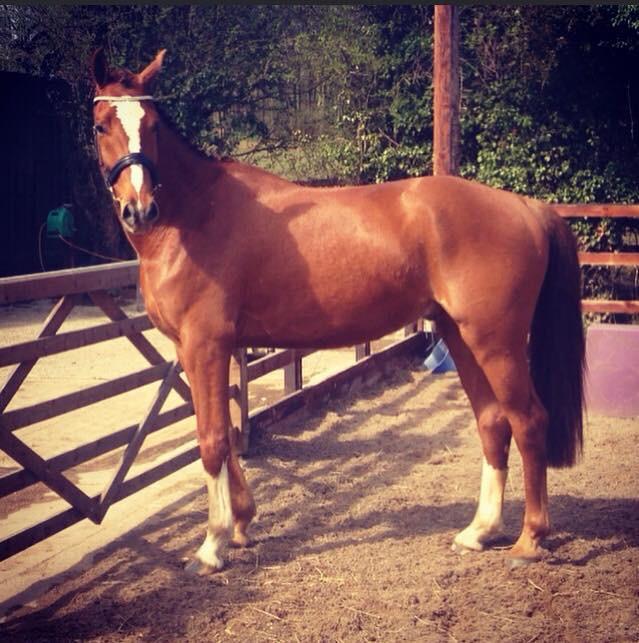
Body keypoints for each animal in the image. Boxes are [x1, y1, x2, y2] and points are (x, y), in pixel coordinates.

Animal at [90, 49, 585, 573]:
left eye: (152, 125)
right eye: (102, 125)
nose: (140, 209)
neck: (194, 217)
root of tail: (527, 206)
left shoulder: (207, 345)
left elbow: (212, 440)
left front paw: (212, 545)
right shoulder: (191, 350)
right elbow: (220, 431)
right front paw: (241, 523)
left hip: (497, 342)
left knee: (528, 421)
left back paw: (530, 539)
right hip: (460, 335)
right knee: (493, 421)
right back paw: (479, 531)